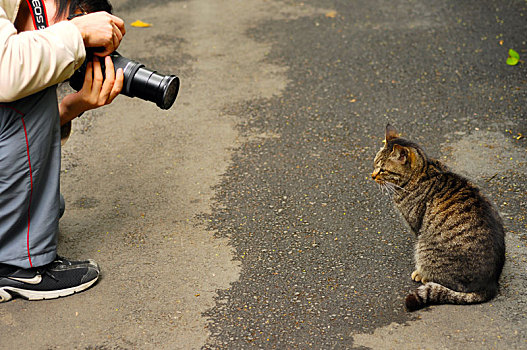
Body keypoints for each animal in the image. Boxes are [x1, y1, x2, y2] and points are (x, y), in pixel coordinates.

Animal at [372, 124, 508, 310]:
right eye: (374, 164)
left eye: (382, 169)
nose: (372, 175)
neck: (422, 172)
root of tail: (491, 284)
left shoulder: (416, 226)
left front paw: (420, 273)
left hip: (424, 247)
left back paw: (424, 275)